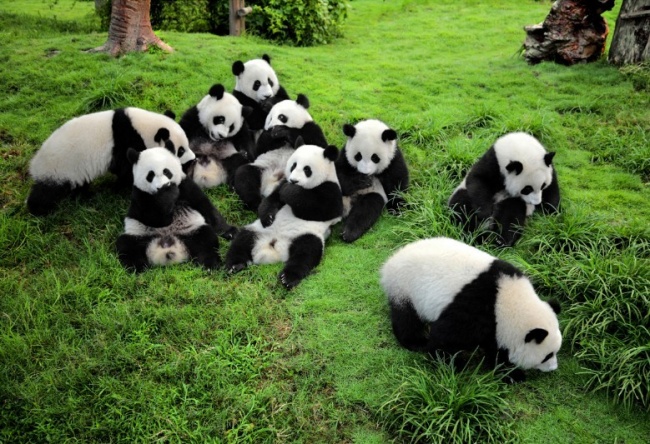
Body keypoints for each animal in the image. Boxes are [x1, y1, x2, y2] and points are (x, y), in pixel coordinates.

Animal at [26, 107, 194, 216]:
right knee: (47, 191)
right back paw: (37, 210)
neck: (142, 127)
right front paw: (119, 188)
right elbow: (126, 169)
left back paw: (85, 196)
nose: (192, 160)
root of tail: (35, 164)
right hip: (59, 169)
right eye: (180, 150)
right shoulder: (126, 140)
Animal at [116, 143, 237, 272]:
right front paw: (167, 195)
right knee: (127, 246)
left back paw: (210, 264)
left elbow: (204, 205)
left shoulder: (184, 184)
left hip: (191, 230)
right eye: (150, 175)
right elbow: (154, 218)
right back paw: (138, 268)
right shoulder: (140, 195)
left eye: (166, 172)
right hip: (139, 234)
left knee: (206, 239)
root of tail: (169, 246)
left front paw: (229, 232)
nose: (162, 186)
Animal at [225, 141, 343, 289]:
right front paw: (267, 216)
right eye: (293, 165)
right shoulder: (282, 182)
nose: (293, 180)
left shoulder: (332, 190)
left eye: (307, 169)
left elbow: (321, 209)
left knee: (306, 253)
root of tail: (273, 248)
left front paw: (290, 192)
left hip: (306, 235)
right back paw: (235, 265)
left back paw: (287, 278)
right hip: (257, 230)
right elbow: (272, 199)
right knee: (242, 240)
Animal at [380, 237, 562, 382]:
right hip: (405, 287)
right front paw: (453, 363)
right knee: (406, 319)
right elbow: (444, 337)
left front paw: (510, 373)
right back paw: (417, 342)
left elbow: (495, 347)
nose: (553, 368)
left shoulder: (495, 324)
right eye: (547, 355)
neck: (506, 300)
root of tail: (390, 263)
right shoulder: (476, 309)